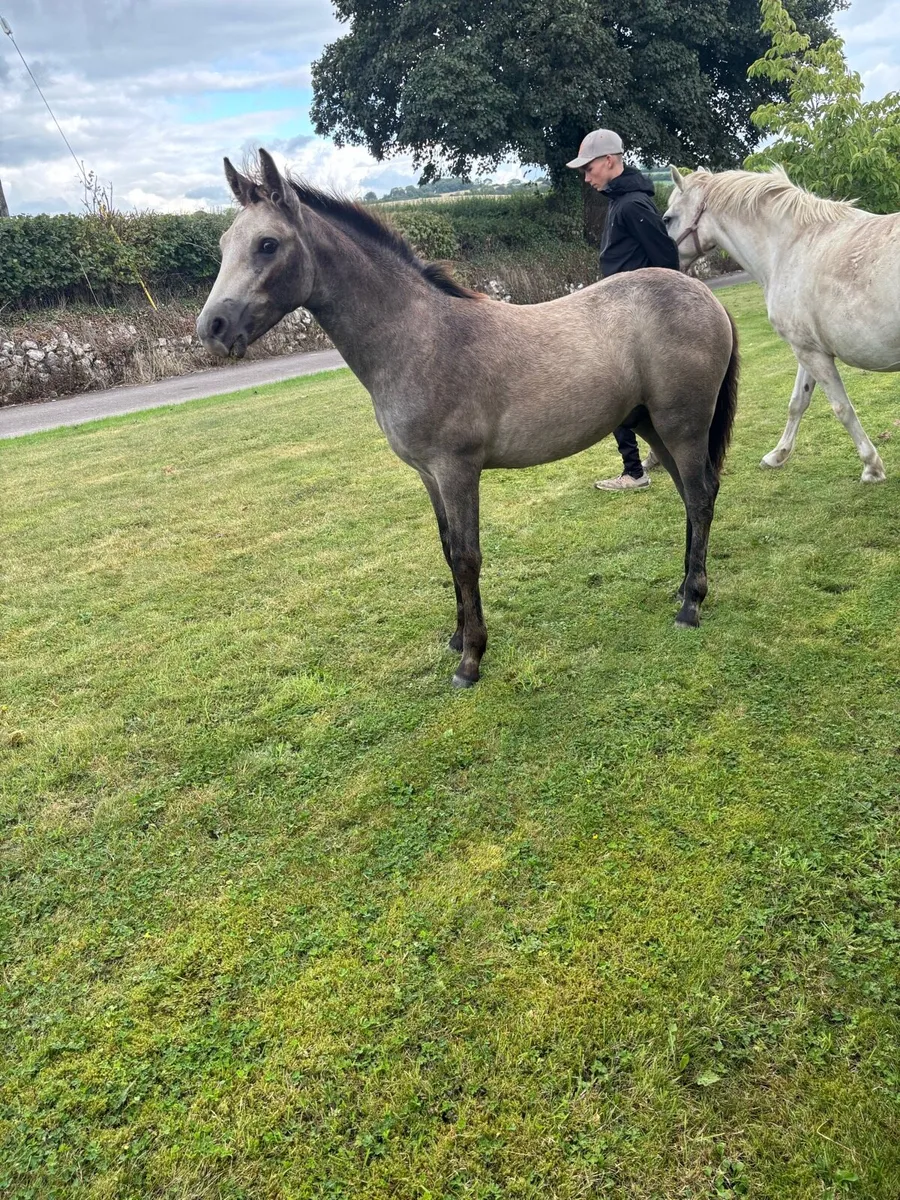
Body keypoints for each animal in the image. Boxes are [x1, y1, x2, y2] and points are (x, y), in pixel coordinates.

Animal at [197, 149, 739, 688]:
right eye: (224, 244)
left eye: (268, 244)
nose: (212, 328)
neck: (419, 337)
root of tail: (704, 295)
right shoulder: (429, 475)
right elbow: (445, 549)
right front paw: (458, 638)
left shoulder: (457, 470)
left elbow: (465, 556)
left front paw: (471, 660)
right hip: (654, 426)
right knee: (690, 496)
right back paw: (683, 589)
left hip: (683, 426)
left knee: (700, 496)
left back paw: (690, 605)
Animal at [663, 164, 898, 483]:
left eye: (668, 218)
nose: (667, 266)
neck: (792, 246)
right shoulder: (807, 349)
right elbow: (798, 402)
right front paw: (778, 455)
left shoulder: (811, 353)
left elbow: (841, 408)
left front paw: (872, 466)